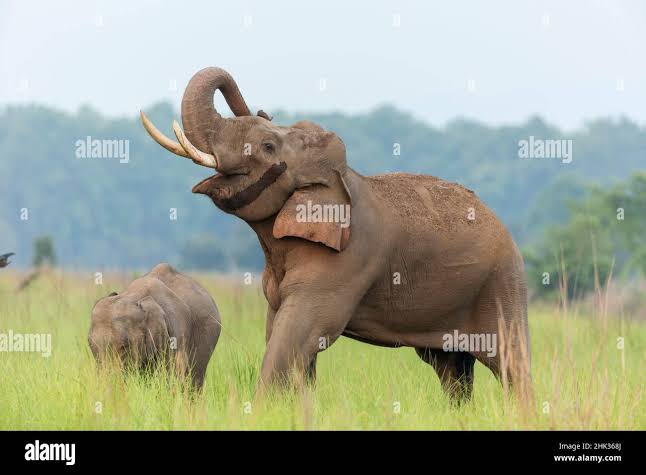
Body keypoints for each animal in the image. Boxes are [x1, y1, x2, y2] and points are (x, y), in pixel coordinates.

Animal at [140, 67, 531, 401]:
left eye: (267, 147)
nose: (265, 110)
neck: (332, 176)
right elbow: (281, 334)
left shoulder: (346, 261)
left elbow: (299, 333)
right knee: (449, 367)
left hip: (501, 283)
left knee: (509, 362)